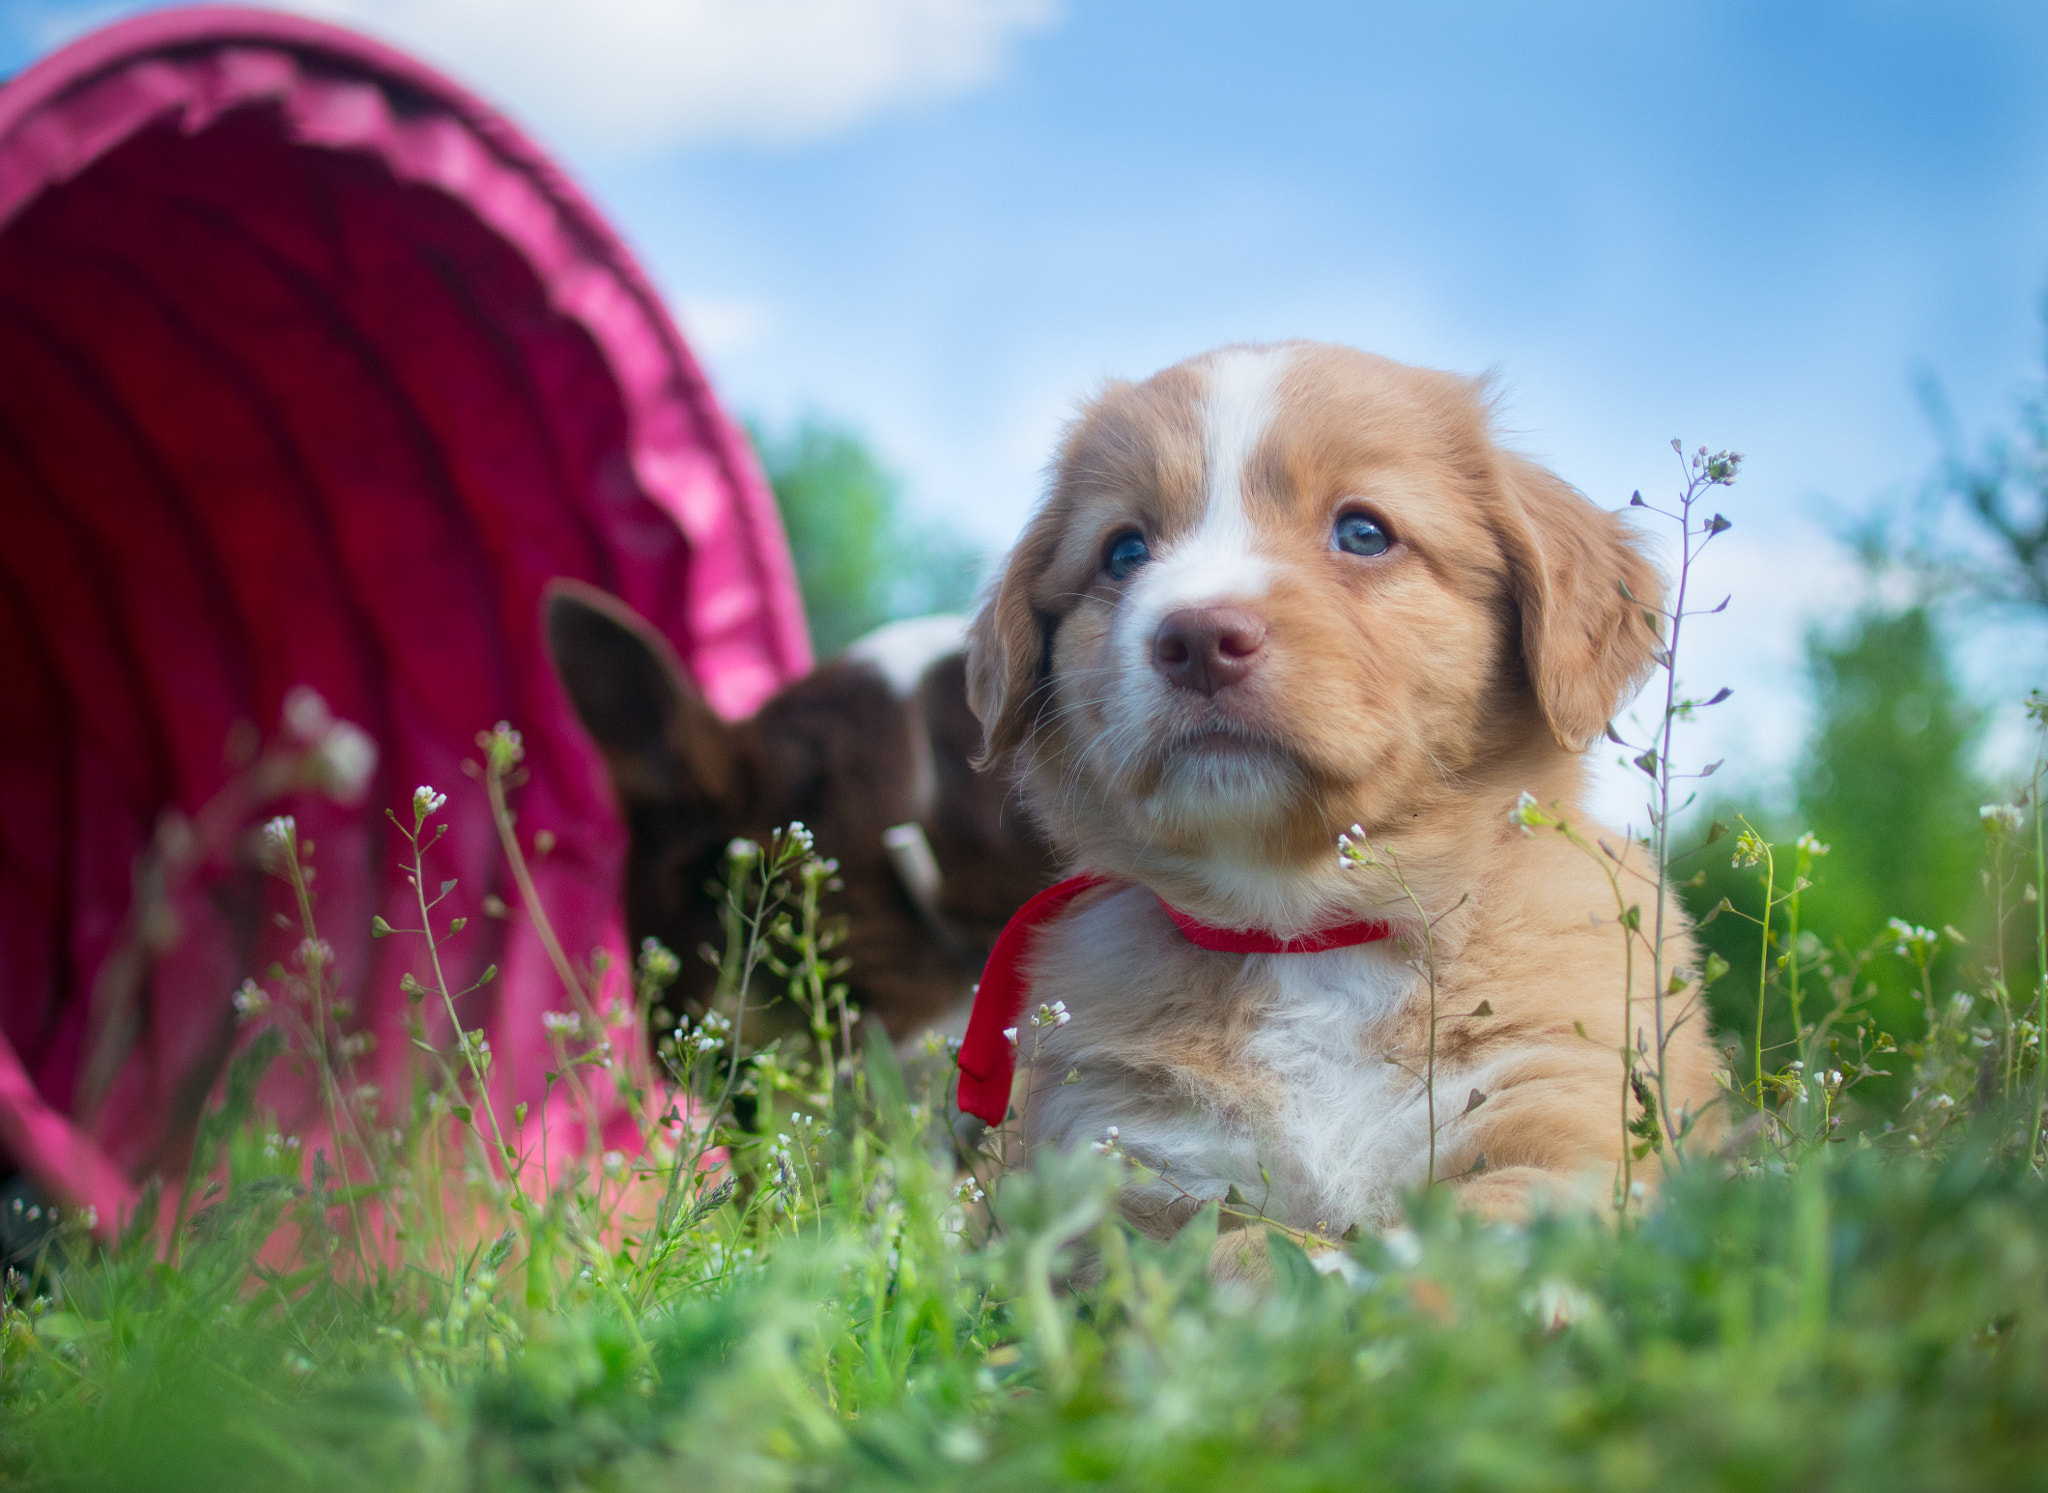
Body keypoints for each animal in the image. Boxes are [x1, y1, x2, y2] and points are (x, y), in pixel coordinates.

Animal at [966, 339, 1720, 1245]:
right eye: (1123, 551)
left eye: (1364, 531)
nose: (1197, 639)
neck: (1311, 939)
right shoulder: (1133, 1178)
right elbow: (1242, 1252)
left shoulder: (1563, 1121)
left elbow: (1470, 1234)